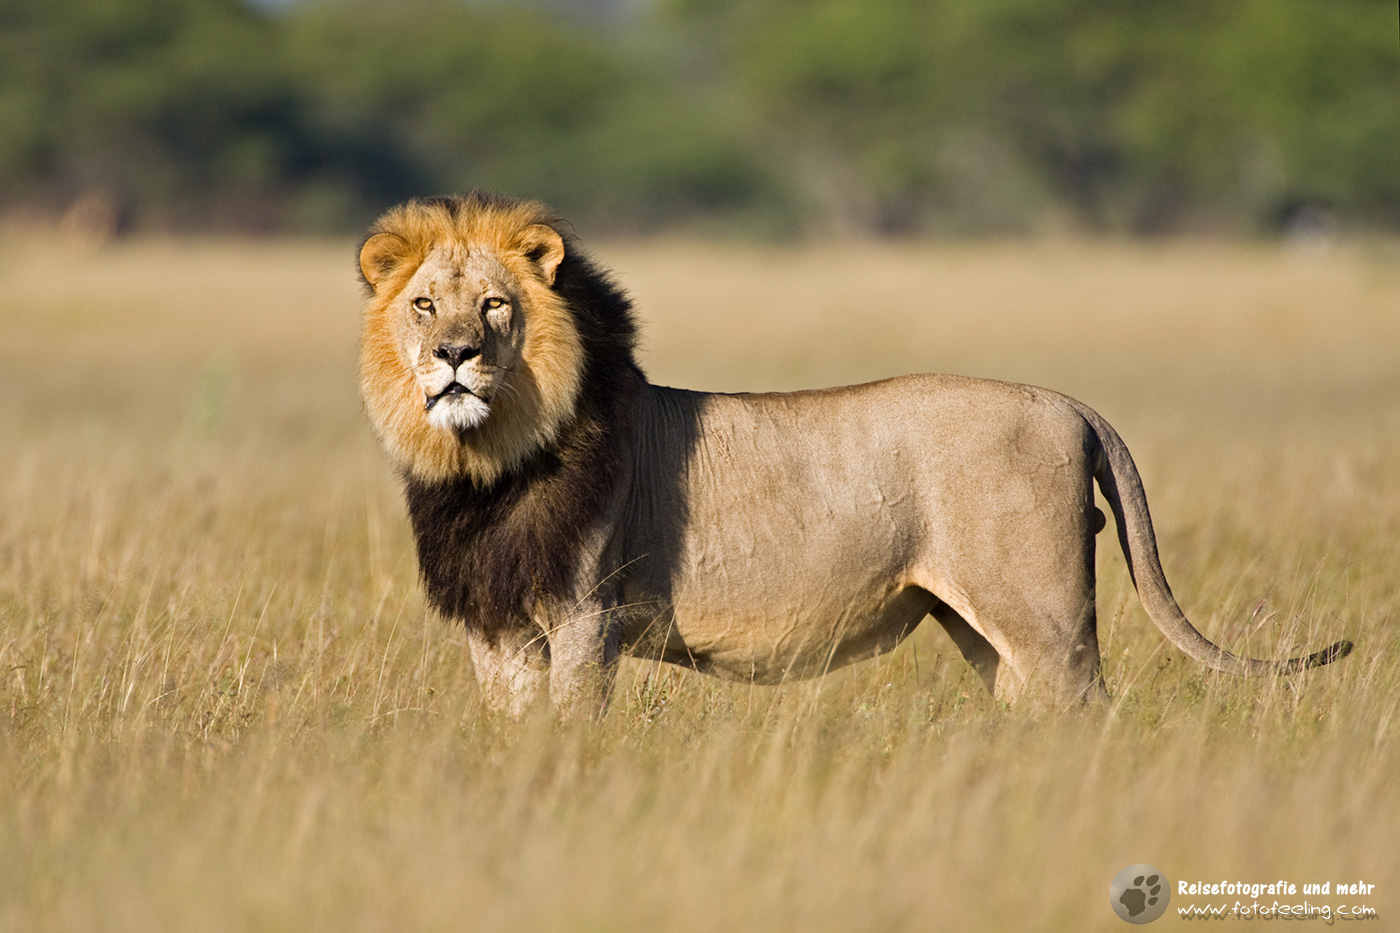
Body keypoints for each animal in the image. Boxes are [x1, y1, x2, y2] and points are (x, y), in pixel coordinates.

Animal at [358, 191, 1353, 717]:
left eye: (494, 305)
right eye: (423, 305)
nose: (454, 355)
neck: (484, 467)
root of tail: (1069, 403)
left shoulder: (585, 614)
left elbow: (572, 726)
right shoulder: (496, 625)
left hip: (1047, 615)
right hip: (986, 630)